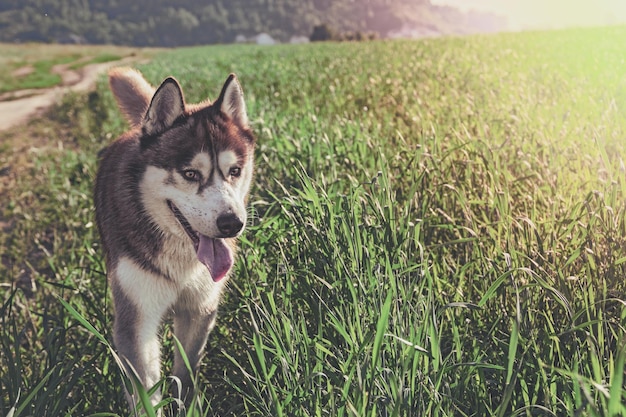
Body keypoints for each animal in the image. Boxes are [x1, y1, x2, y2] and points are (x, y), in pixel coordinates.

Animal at [94, 66, 254, 412]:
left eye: (234, 171)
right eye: (190, 174)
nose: (231, 224)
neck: (182, 261)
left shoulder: (199, 309)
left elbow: (186, 375)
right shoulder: (136, 321)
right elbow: (145, 393)